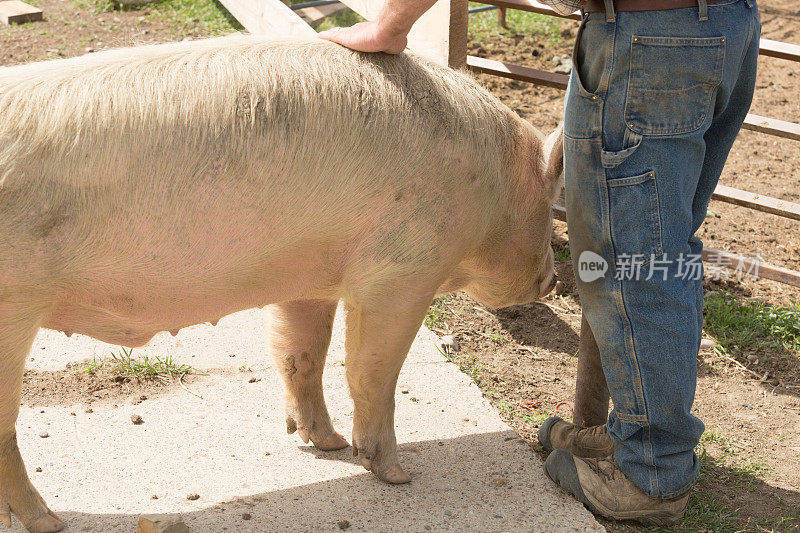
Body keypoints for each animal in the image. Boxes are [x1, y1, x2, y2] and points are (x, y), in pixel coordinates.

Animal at [0, 35, 564, 528]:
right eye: (549, 207)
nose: (555, 281)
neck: (492, 187)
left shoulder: (308, 276)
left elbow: (300, 355)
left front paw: (328, 445)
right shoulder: (402, 271)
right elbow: (371, 373)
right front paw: (396, 476)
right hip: (13, 310)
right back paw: (48, 522)